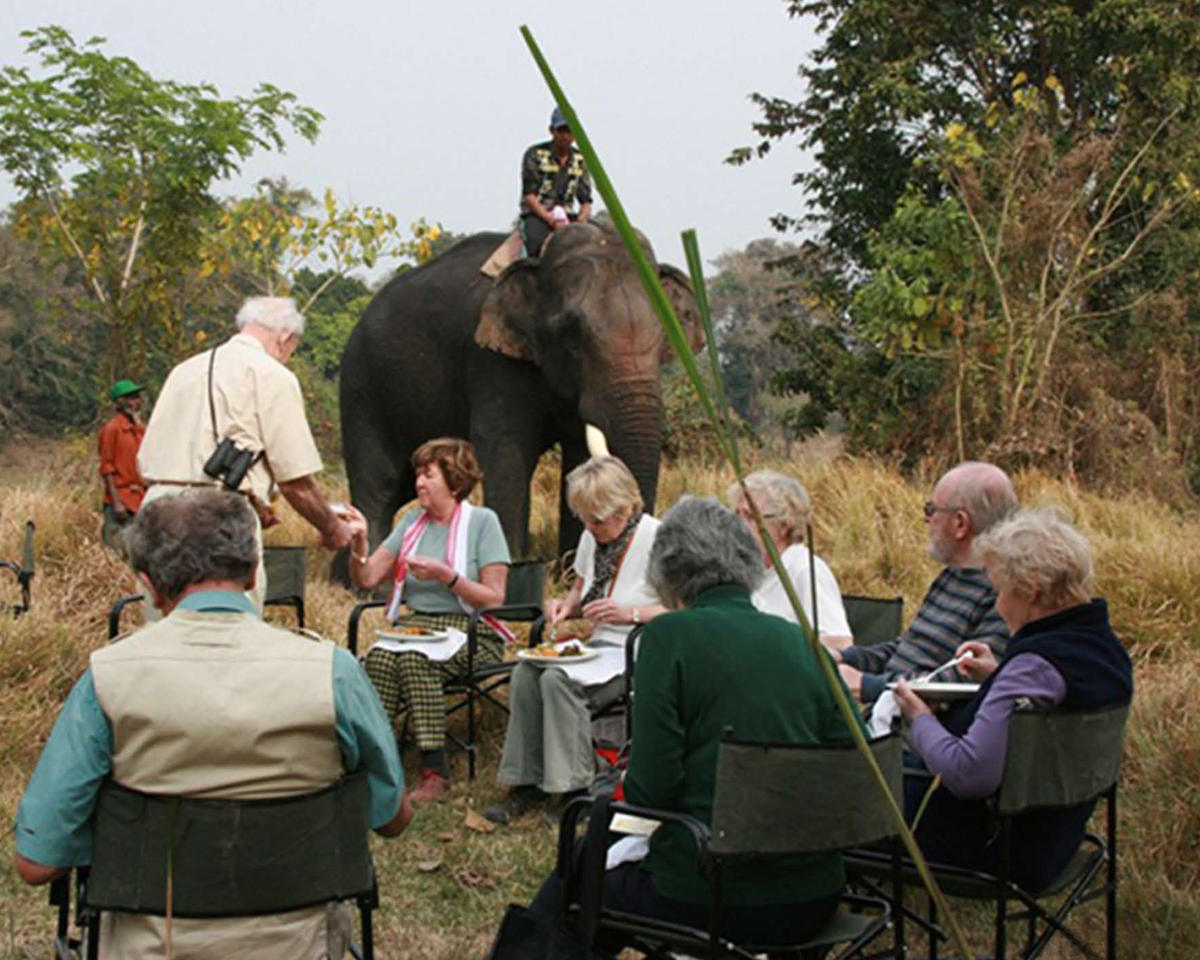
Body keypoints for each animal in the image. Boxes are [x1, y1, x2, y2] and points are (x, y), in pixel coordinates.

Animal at [340, 219, 700, 561]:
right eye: (572, 334)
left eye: (666, 333)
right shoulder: (491, 360)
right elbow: (507, 451)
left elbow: (580, 455)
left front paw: (569, 572)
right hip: (362, 387)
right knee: (379, 484)